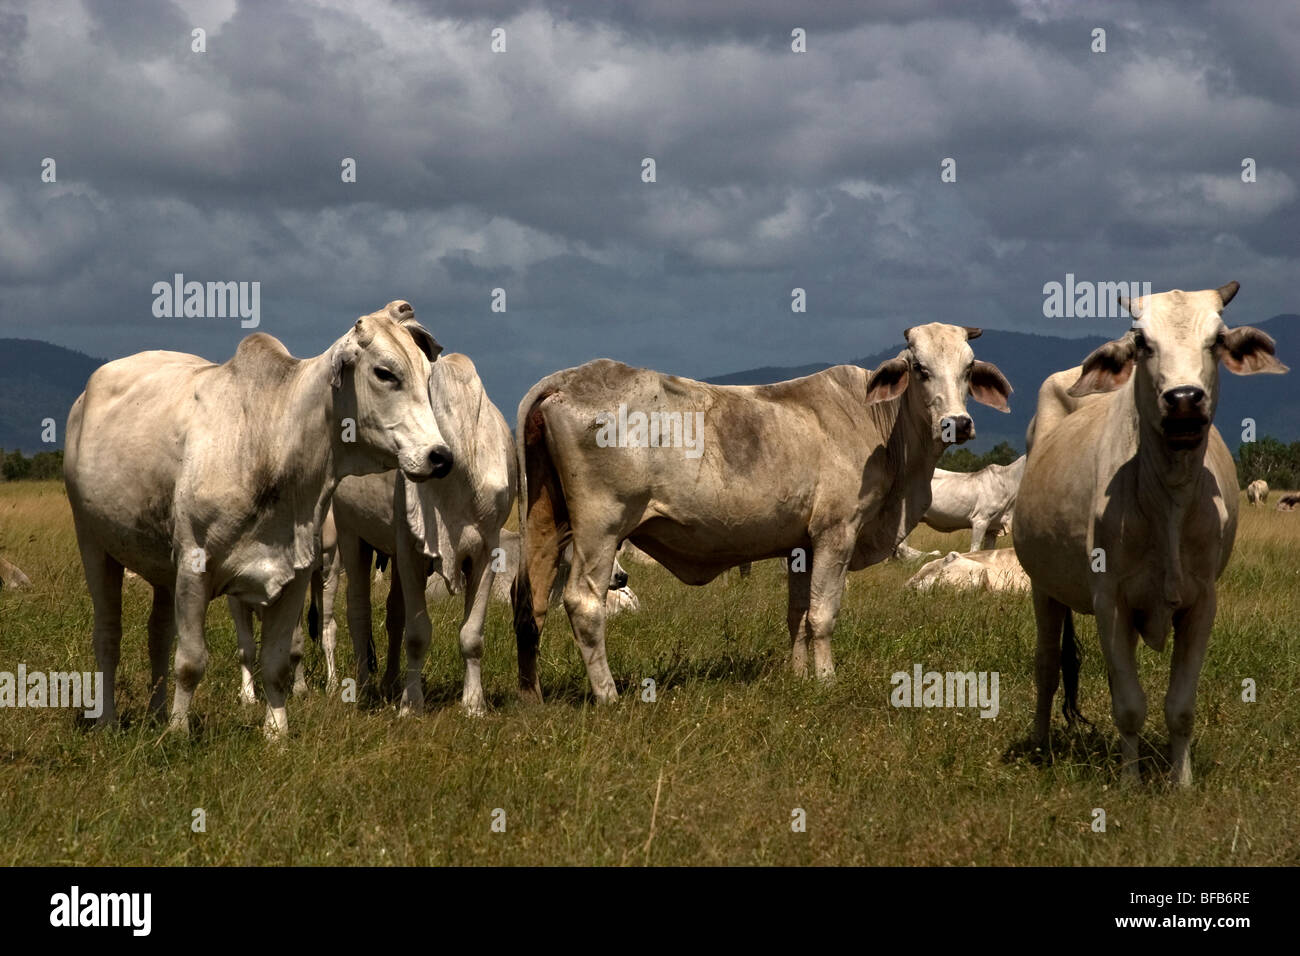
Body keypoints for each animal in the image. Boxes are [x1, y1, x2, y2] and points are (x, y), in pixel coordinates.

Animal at [64, 300, 450, 739]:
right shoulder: (194, 568)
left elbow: (278, 662)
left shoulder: (296, 574)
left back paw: (158, 711)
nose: (440, 456)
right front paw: (179, 732)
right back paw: (108, 719)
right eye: (385, 373)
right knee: (107, 635)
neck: (271, 442)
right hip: (93, 544)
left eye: (427, 376)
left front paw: (275, 732)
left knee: (157, 635)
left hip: (162, 568)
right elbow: (191, 661)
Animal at [327, 352, 515, 715]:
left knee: (393, 614)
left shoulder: (487, 550)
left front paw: (474, 704)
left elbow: (471, 635)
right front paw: (411, 704)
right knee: (358, 612)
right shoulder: (411, 550)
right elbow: (416, 634)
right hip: (351, 535)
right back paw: (366, 688)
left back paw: (389, 683)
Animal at [512, 323, 1012, 703]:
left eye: (968, 368)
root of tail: (567, 378)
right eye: (919, 369)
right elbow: (823, 615)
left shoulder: (800, 546)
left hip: (544, 517)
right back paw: (609, 695)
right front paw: (826, 681)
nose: (957, 423)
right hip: (601, 526)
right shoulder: (836, 533)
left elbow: (798, 615)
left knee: (528, 598)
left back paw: (530, 697)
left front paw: (799, 676)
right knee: (583, 602)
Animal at [1014, 282, 1287, 786]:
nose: (1184, 399)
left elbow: (1179, 707)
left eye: (1217, 340)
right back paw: (1040, 745)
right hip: (1044, 587)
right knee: (1046, 666)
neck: (1168, 499)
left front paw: (1182, 782)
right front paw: (1129, 781)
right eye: (1142, 343)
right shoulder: (1110, 601)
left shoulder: (1202, 602)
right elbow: (1129, 706)